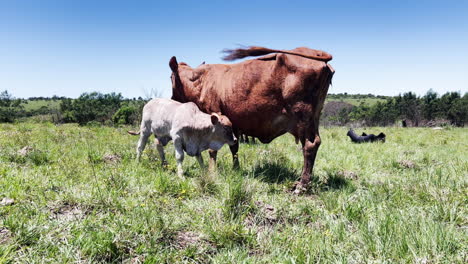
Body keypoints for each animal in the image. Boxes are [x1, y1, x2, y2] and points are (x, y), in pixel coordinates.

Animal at [170, 46, 334, 192]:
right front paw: (236, 169)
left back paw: (302, 185)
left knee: (310, 145)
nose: (172, 98)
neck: (201, 81)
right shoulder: (233, 124)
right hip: (314, 118)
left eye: (170, 77)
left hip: (303, 117)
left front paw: (212, 172)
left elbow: (212, 149)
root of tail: (315, 52)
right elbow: (234, 147)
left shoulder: (214, 117)